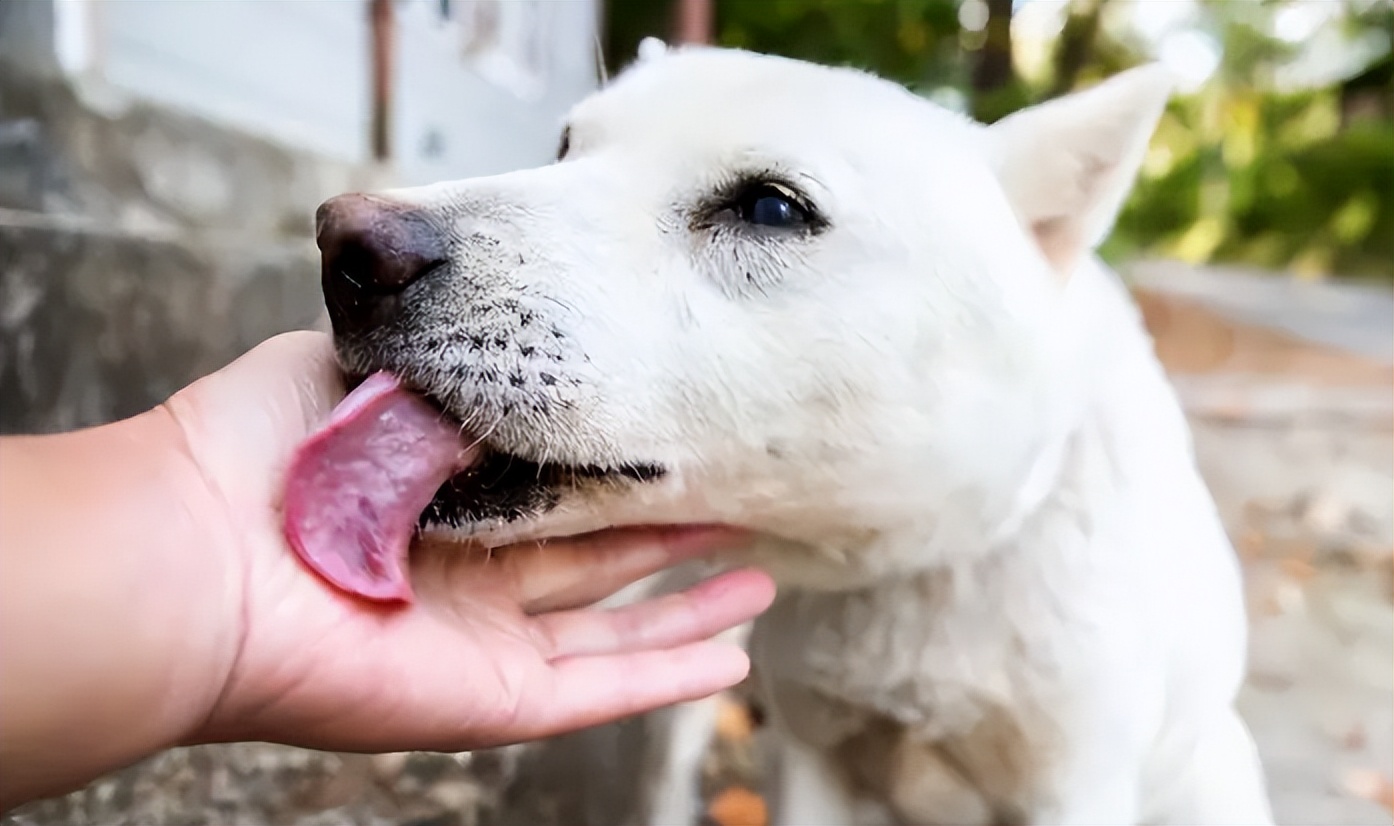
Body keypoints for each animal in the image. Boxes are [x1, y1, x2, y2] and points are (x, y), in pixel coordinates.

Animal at [310, 43, 1271, 824]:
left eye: (772, 209)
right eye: (565, 150)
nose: (344, 249)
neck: (912, 571)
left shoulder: (1074, 785)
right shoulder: (810, 759)